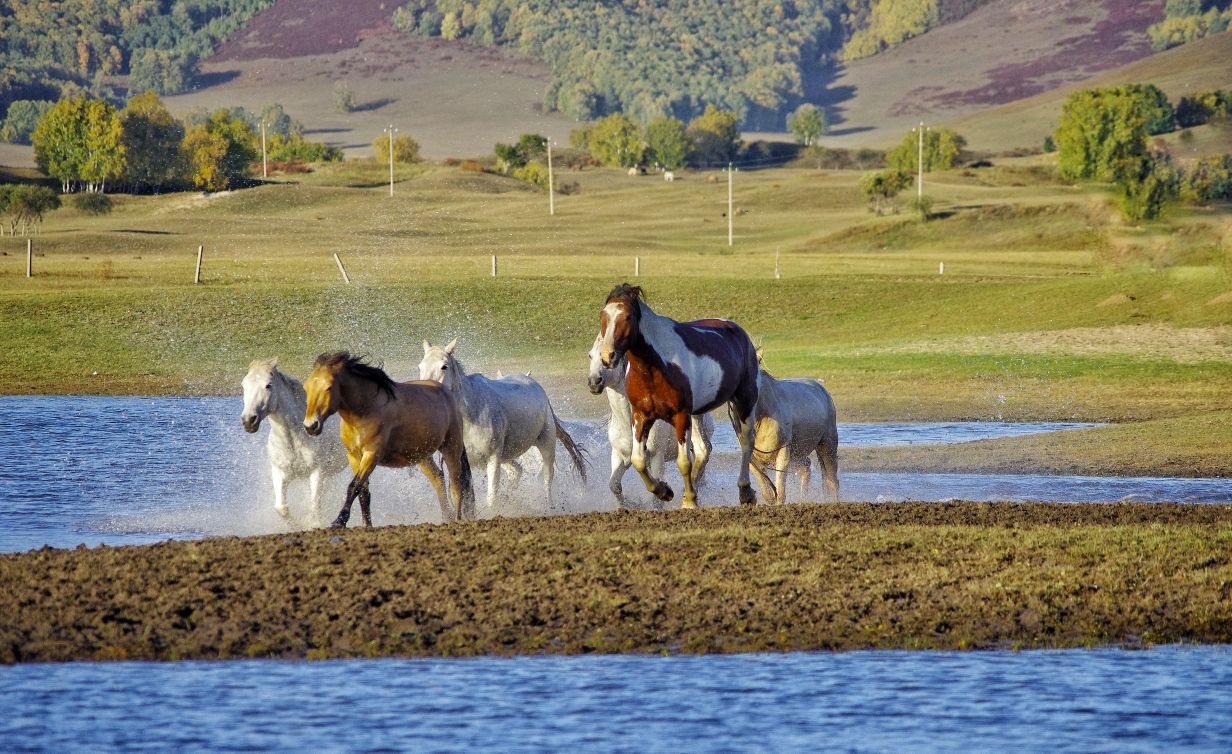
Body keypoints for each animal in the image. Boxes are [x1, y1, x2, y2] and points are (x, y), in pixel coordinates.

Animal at [240, 357, 349, 524]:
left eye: (268, 385)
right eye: (244, 385)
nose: (248, 420)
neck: (293, 439)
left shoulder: (317, 471)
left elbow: (314, 508)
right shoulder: (279, 472)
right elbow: (282, 509)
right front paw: (296, 524)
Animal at [300, 352, 473, 524]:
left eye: (328, 387)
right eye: (306, 387)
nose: (310, 426)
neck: (366, 410)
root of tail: (446, 392)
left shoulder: (372, 455)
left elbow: (354, 486)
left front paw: (339, 522)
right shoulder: (354, 456)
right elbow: (363, 492)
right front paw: (366, 525)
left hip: (451, 448)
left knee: (456, 486)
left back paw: (457, 520)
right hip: (420, 455)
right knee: (438, 479)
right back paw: (446, 518)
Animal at [418, 337, 586, 514]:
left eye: (444, 366)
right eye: (420, 366)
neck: (471, 413)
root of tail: (535, 385)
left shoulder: (493, 458)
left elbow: (491, 497)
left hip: (546, 443)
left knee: (547, 478)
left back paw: (549, 507)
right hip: (507, 456)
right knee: (516, 471)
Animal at [586, 337, 714, 510]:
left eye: (610, 356)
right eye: (590, 355)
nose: (594, 382)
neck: (628, 424)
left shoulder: (656, 457)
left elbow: (656, 498)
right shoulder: (620, 456)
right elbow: (614, 485)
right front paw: (633, 505)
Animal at [744, 349, 842, 502]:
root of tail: (823, 390)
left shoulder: (783, 452)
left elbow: (780, 490)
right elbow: (766, 489)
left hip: (827, 444)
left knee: (832, 481)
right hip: (798, 454)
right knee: (806, 468)